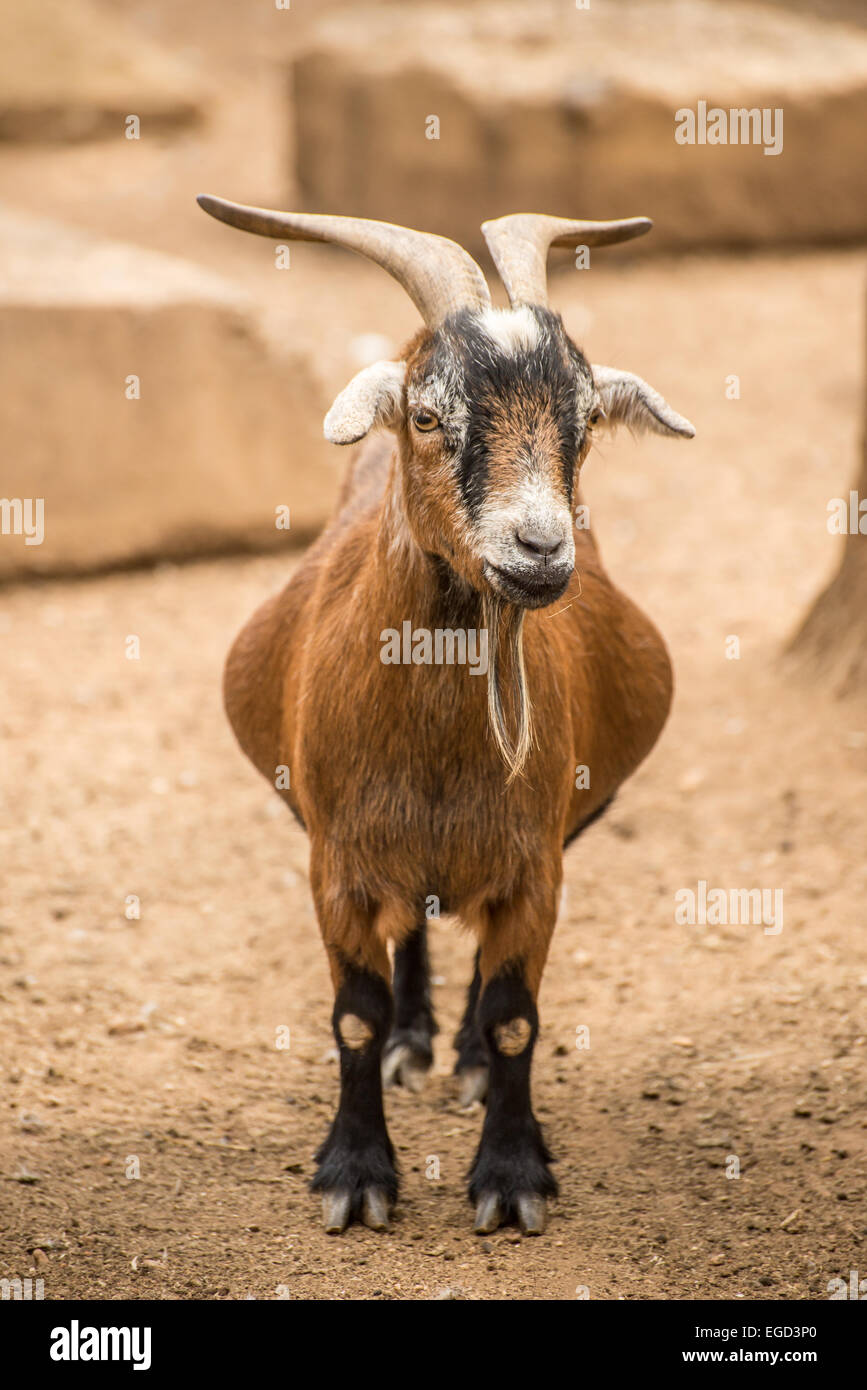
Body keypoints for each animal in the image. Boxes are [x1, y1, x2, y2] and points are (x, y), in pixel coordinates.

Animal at [198, 196, 695, 1236]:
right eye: (427, 416)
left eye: (585, 420)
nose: (540, 549)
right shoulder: (336, 862)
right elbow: (354, 1013)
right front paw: (354, 1176)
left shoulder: (536, 865)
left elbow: (514, 1019)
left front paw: (510, 1175)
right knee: (414, 927)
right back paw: (416, 1041)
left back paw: (454, 1051)